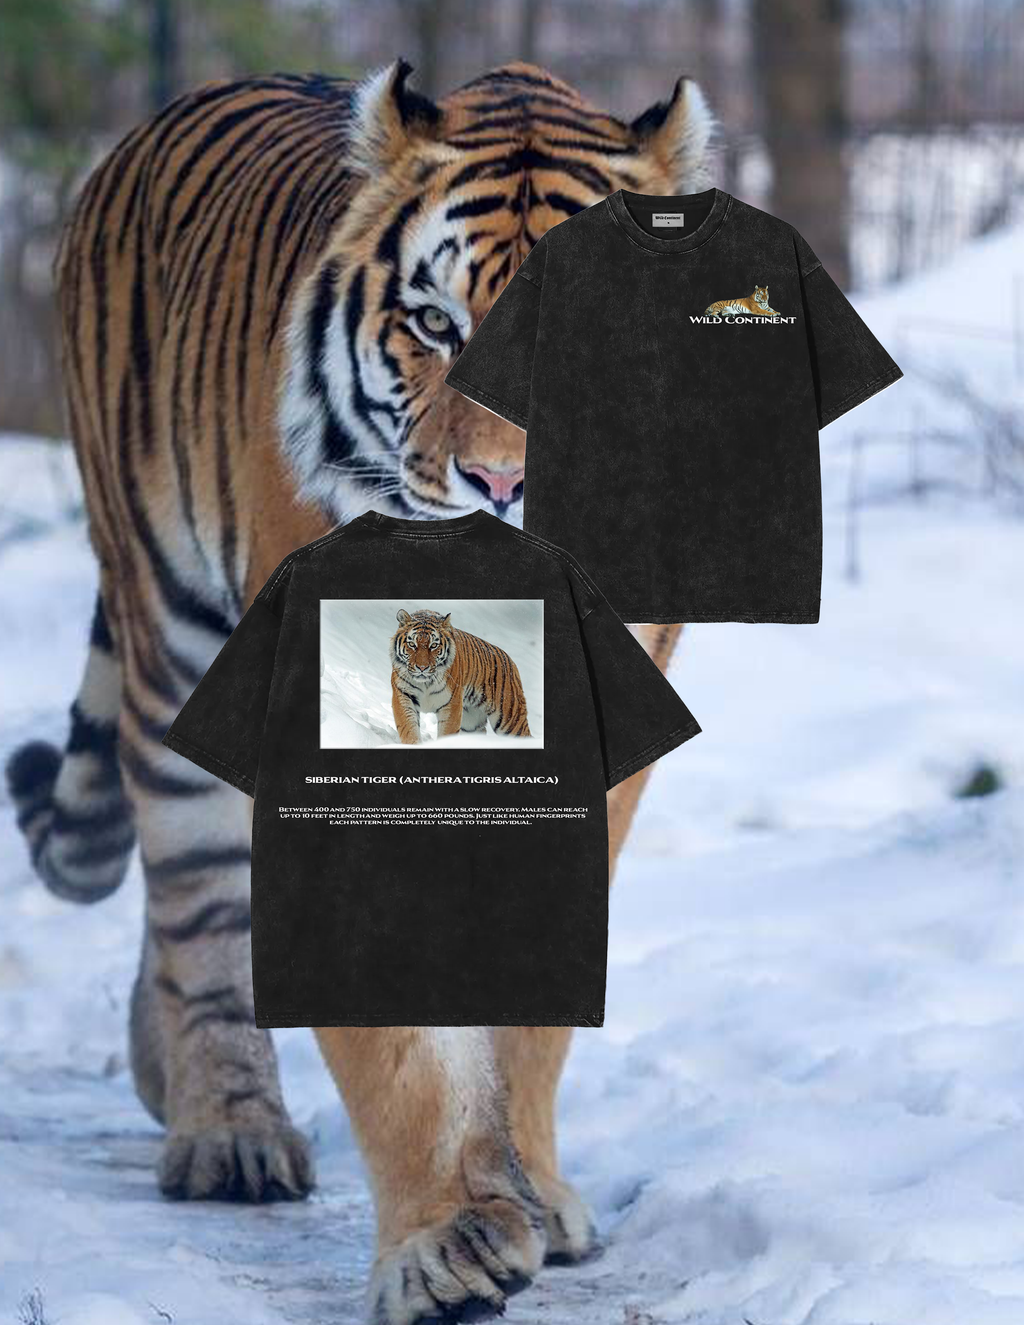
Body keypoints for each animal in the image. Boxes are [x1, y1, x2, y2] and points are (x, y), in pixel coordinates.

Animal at [391, 608, 531, 744]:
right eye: (412, 644)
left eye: (434, 645)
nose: (422, 668)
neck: (425, 682)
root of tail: (511, 661)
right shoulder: (404, 696)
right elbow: (409, 730)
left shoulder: (451, 704)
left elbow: (447, 733)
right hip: (471, 723)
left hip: (510, 719)